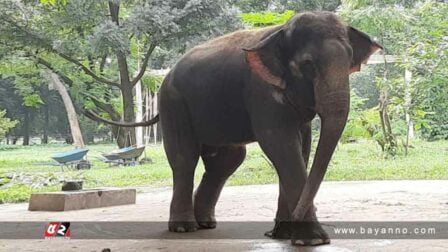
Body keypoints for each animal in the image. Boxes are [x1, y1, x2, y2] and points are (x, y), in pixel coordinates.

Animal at [89, 10, 384, 245]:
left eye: (349, 61)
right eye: (308, 65)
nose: (270, 232)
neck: (278, 33)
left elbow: (301, 147)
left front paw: (283, 235)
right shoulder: (261, 91)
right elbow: (280, 145)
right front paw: (310, 240)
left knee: (227, 161)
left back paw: (206, 223)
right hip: (174, 103)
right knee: (185, 158)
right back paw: (184, 228)